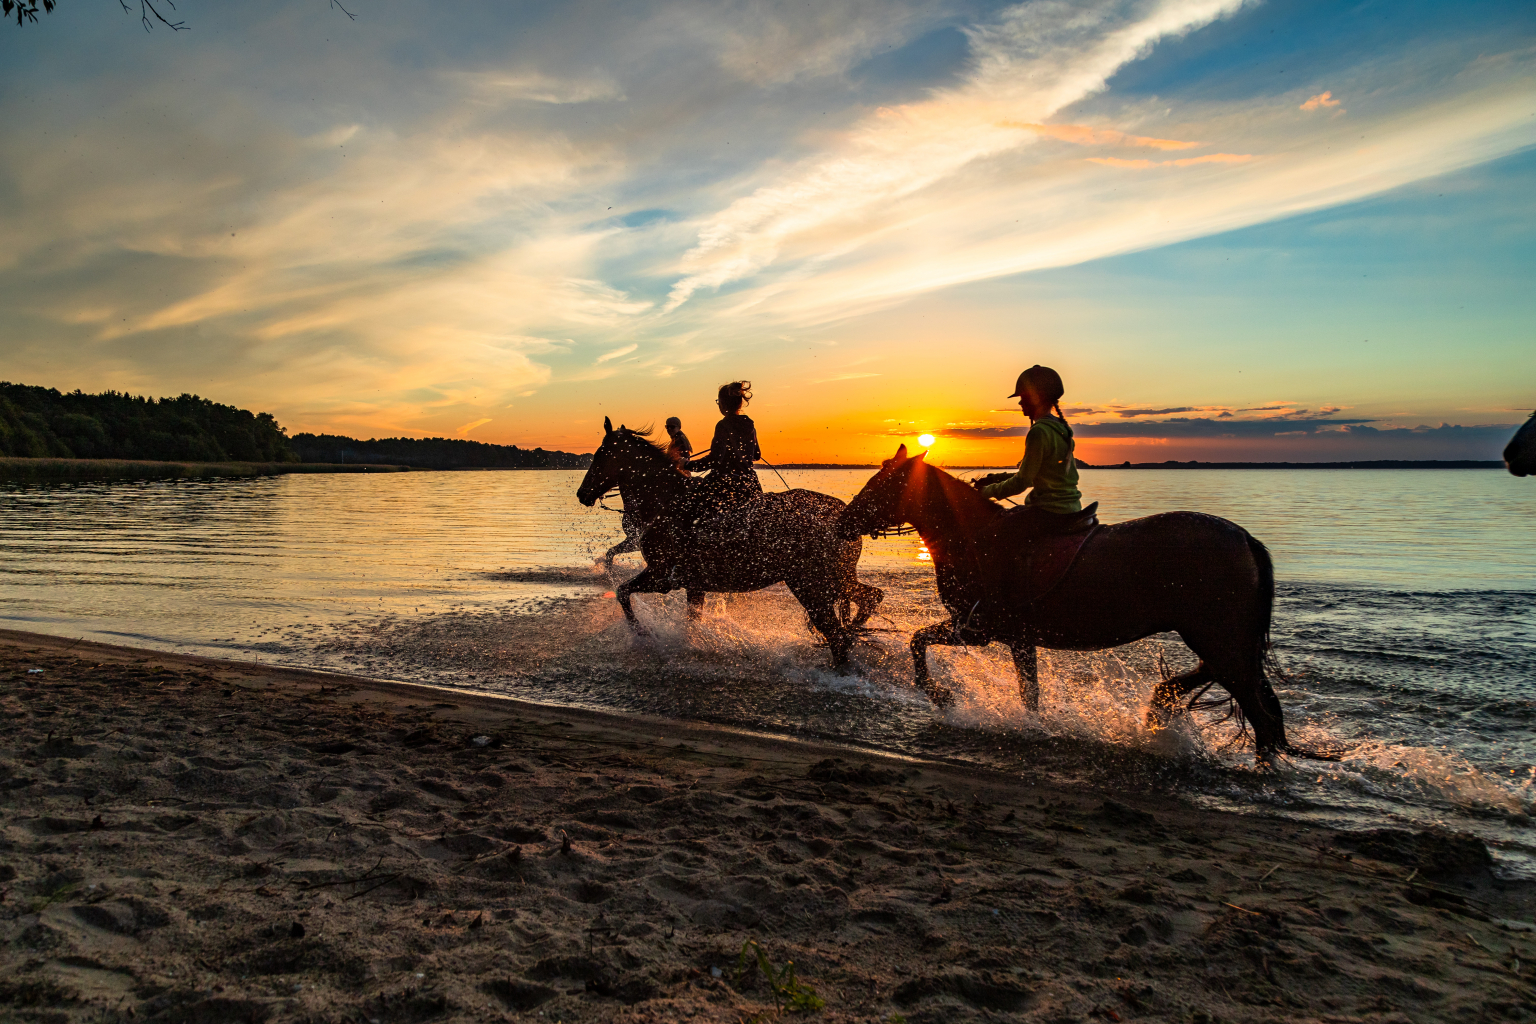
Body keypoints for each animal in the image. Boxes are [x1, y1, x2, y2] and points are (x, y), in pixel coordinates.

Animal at [577, 417, 884, 669]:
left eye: (599, 455)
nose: (582, 493)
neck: (665, 501)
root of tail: (844, 515)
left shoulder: (661, 576)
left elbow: (622, 592)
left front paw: (641, 633)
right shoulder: (694, 584)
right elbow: (691, 619)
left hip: (811, 585)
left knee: (838, 635)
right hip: (835, 579)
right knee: (869, 598)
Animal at [841, 445, 1296, 761]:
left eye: (880, 485)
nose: (845, 521)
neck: (970, 537)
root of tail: (1245, 539)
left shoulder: (979, 630)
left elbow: (917, 643)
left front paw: (942, 696)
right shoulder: (1014, 639)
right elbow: (1028, 692)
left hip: (1219, 640)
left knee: (1261, 714)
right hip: (1216, 641)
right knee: (1209, 687)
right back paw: (1156, 718)